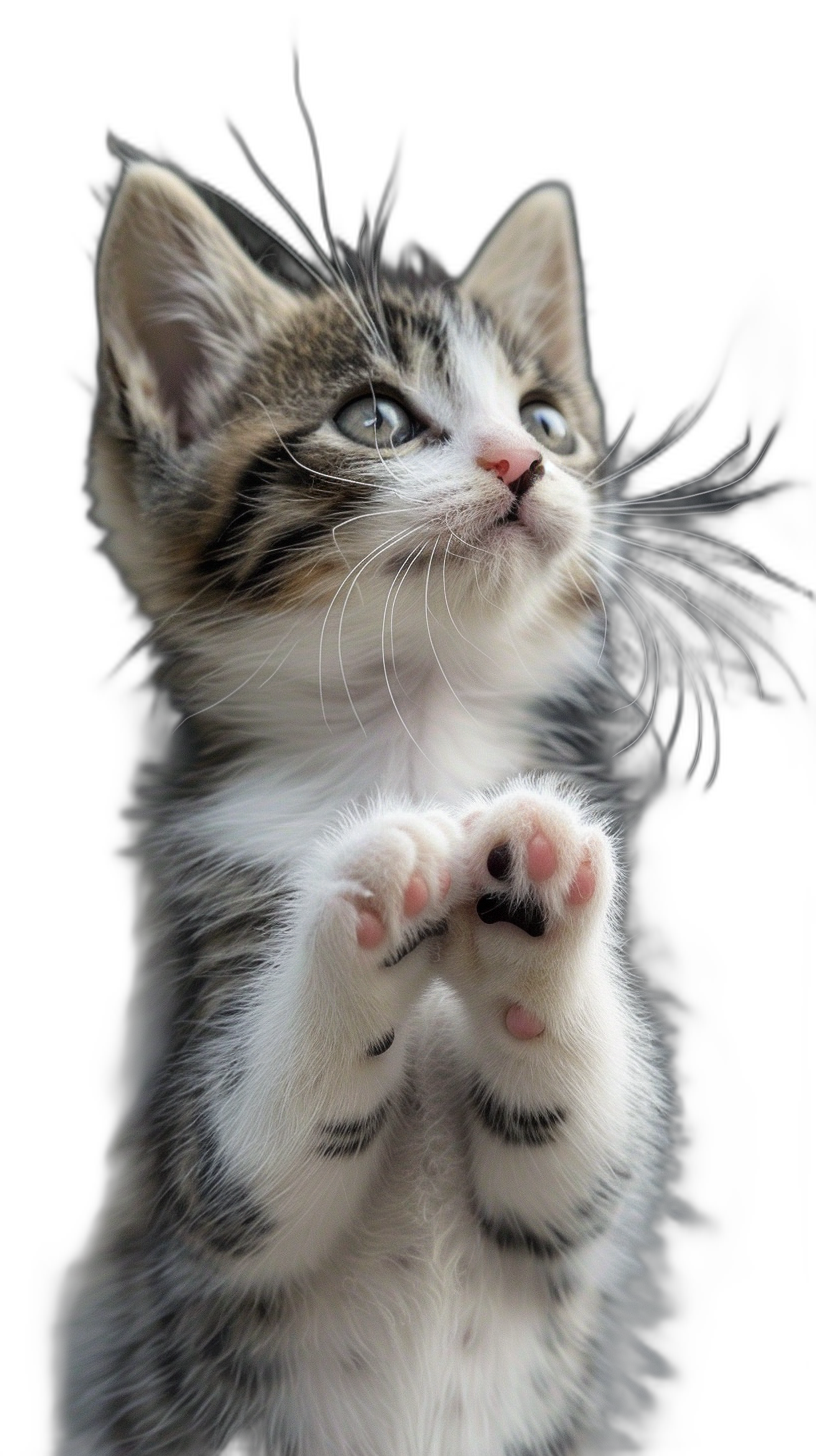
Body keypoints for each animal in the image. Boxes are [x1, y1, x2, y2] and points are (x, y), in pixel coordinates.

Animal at [55, 162, 670, 1456]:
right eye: (375, 419)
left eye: (548, 420)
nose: (521, 464)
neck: (411, 741)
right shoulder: (195, 1164)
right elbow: (252, 1158)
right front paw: (378, 882)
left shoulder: (576, 1229)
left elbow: (581, 1166)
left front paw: (538, 885)